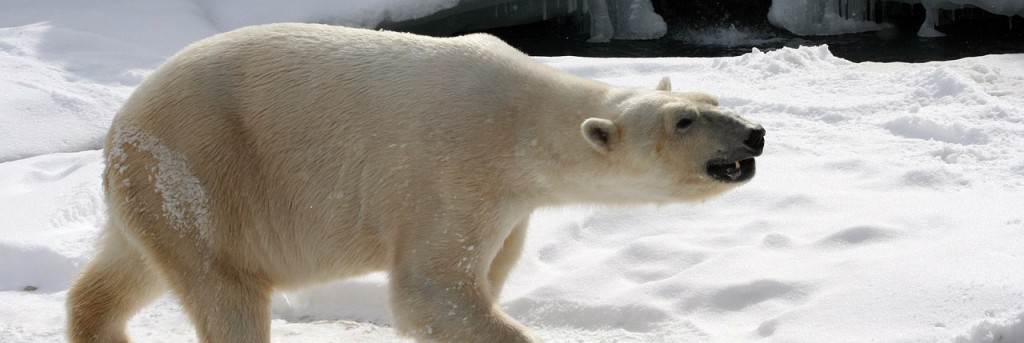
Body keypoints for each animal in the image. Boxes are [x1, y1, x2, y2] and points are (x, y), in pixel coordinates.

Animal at [66, 22, 761, 341]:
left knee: (123, 271)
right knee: (224, 290)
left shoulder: (509, 206)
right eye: (685, 120)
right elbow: (433, 290)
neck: (521, 120)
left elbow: (479, 280)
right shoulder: (454, 170)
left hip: (155, 190)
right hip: (203, 174)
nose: (754, 135)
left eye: (711, 99)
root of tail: (121, 123)